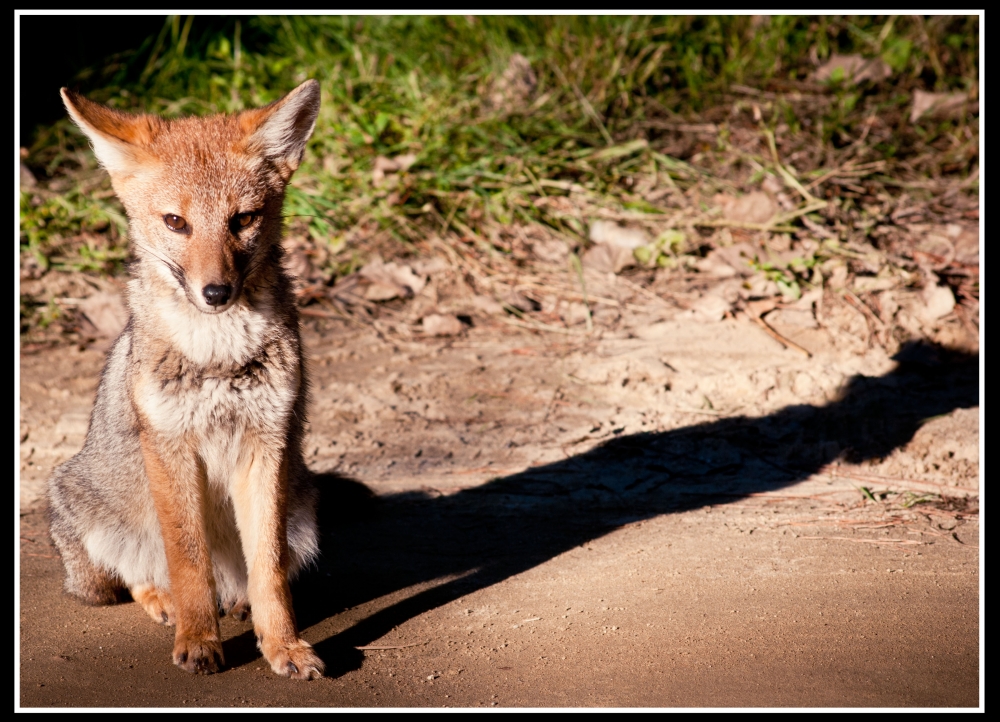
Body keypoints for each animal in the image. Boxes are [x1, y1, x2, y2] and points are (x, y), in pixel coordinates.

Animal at [47, 81, 324, 676]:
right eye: (176, 222)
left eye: (242, 220)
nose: (216, 293)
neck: (217, 356)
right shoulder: (170, 446)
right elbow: (188, 559)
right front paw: (199, 639)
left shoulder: (266, 444)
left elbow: (268, 569)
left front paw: (283, 644)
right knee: (137, 577)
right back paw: (167, 603)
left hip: (303, 511)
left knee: (249, 575)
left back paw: (237, 603)